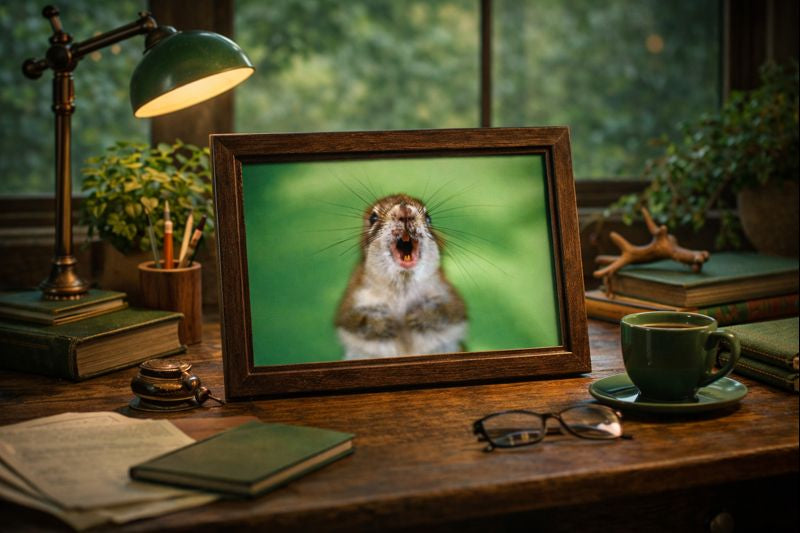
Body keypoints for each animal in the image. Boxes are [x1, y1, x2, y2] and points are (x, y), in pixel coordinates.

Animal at [334, 194, 467, 360]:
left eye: (429, 218)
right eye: (373, 217)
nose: (405, 211)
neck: (403, 283)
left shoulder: (448, 291)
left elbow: (450, 309)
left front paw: (421, 314)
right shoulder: (353, 295)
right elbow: (351, 319)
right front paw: (381, 323)